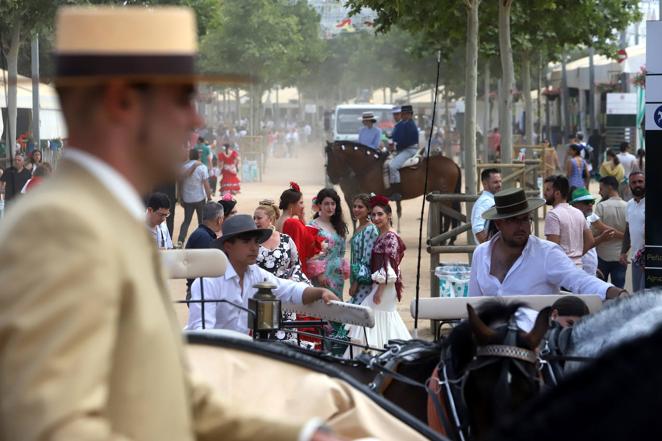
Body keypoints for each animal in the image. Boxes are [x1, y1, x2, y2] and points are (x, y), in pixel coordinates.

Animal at [326, 141, 462, 234]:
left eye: (331, 158)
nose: (331, 177)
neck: (370, 166)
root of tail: (453, 163)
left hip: (445, 196)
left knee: (448, 216)